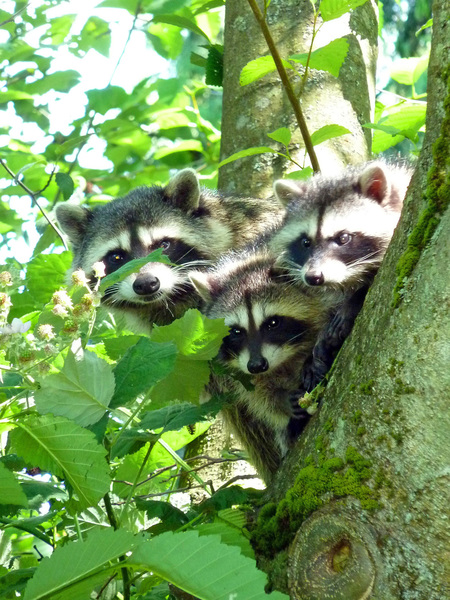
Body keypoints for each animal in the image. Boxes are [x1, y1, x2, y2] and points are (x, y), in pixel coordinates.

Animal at [189, 248, 330, 482]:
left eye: (272, 323)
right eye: (236, 331)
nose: (257, 365)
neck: (283, 359)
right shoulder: (235, 373)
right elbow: (258, 397)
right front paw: (281, 399)